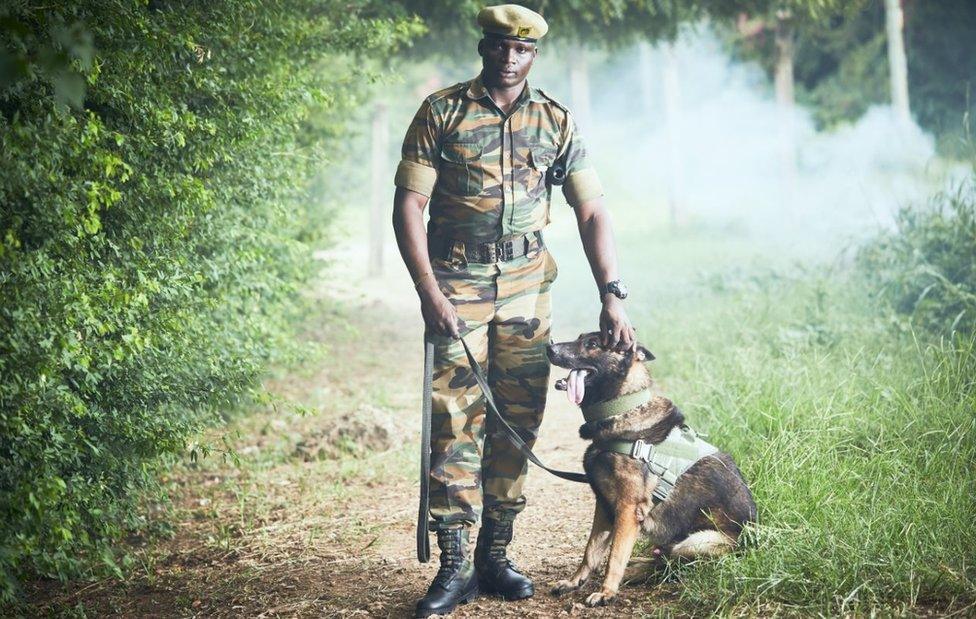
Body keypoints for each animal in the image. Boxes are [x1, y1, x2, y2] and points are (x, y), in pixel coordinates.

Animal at [548, 334, 756, 604]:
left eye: (592, 344)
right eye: (580, 337)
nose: (548, 347)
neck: (623, 408)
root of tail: (755, 542)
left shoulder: (627, 510)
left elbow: (615, 557)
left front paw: (606, 592)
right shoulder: (604, 506)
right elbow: (591, 552)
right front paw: (575, 582)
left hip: (696, 542)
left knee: (672, 565)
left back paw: (636, 571)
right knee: (663, 557)